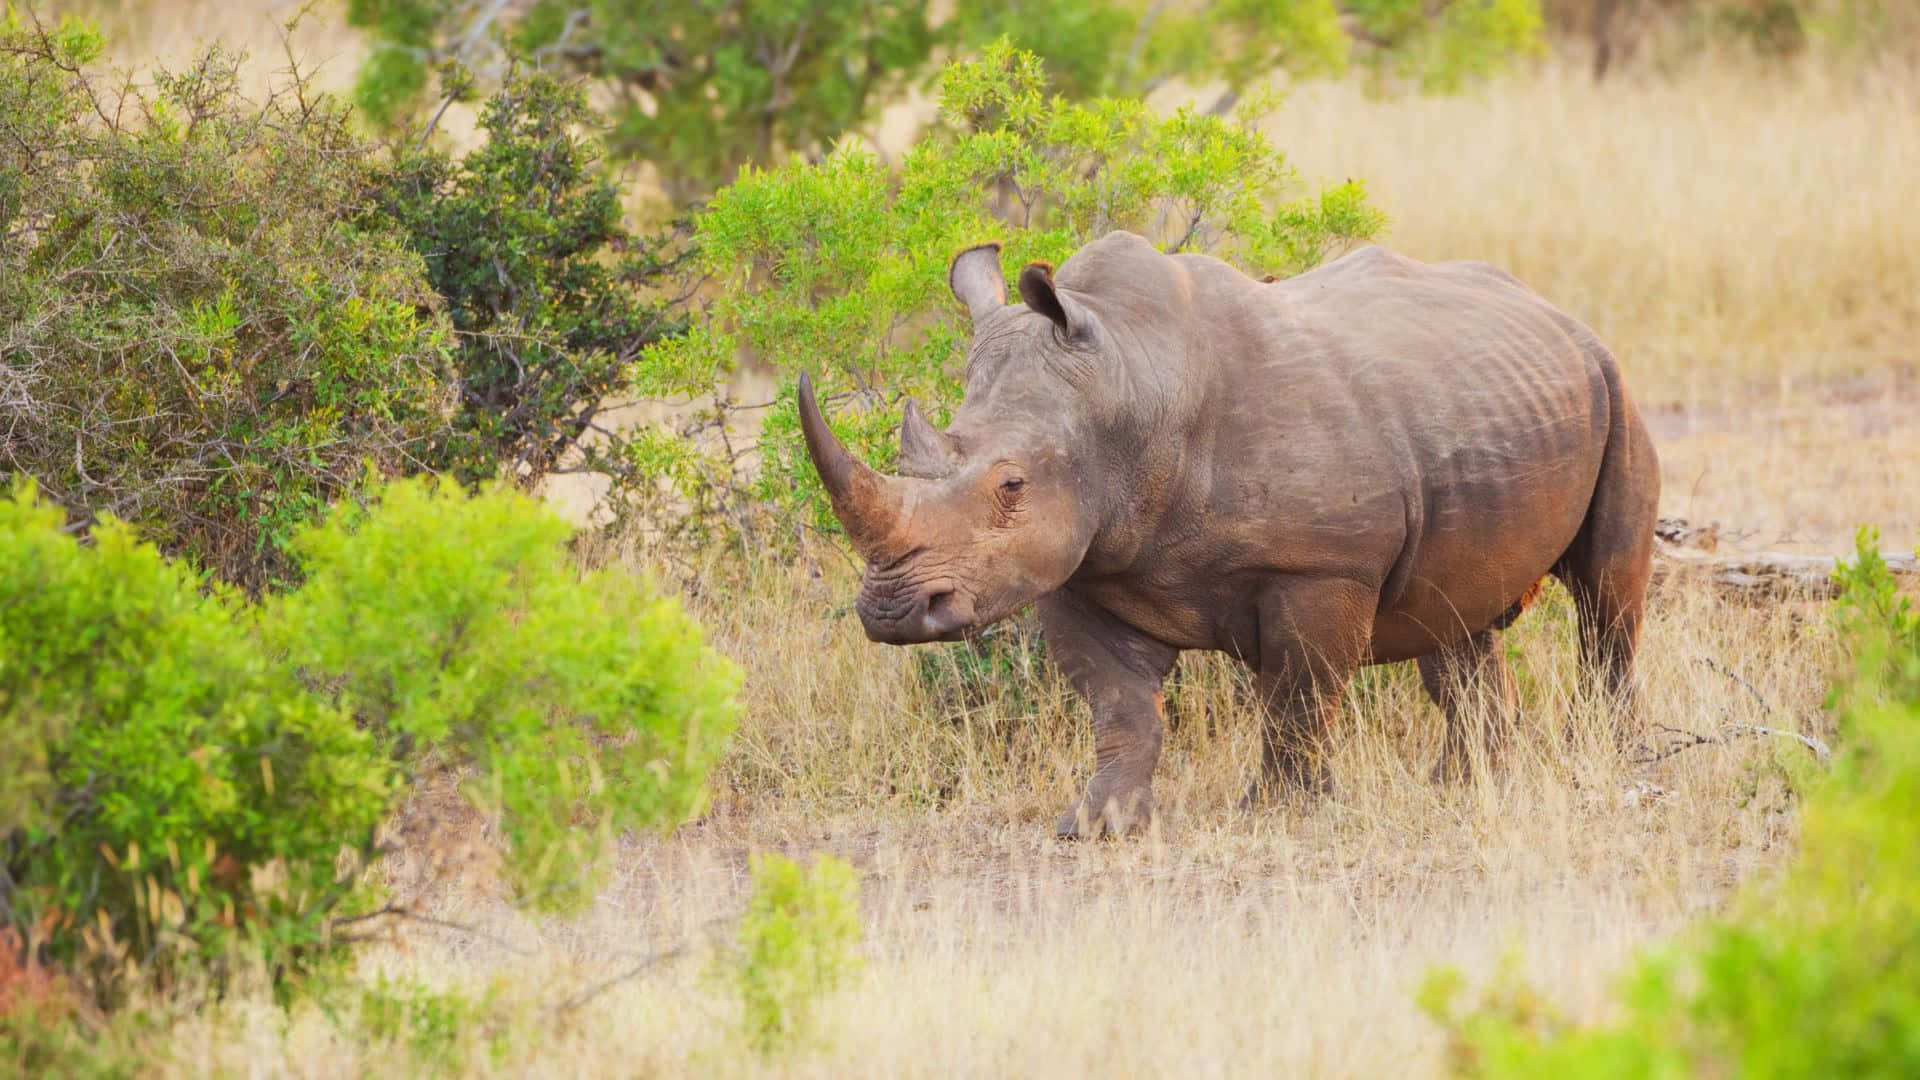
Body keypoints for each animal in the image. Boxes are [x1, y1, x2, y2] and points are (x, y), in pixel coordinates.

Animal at [798, 230, 1658, 837]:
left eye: (1010, 487)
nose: (894, 613)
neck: (1127, 387)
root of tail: (1554, 312)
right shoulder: (1079, 563)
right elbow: (1120, 704)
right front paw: (1097, 825)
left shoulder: (1322, 568)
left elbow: (1297, 696)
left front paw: (1277, 811)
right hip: (1483, 401)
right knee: (1457, 615)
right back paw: (1465, 784)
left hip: (1613, 383)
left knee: (1606, 595)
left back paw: (1604, 756)